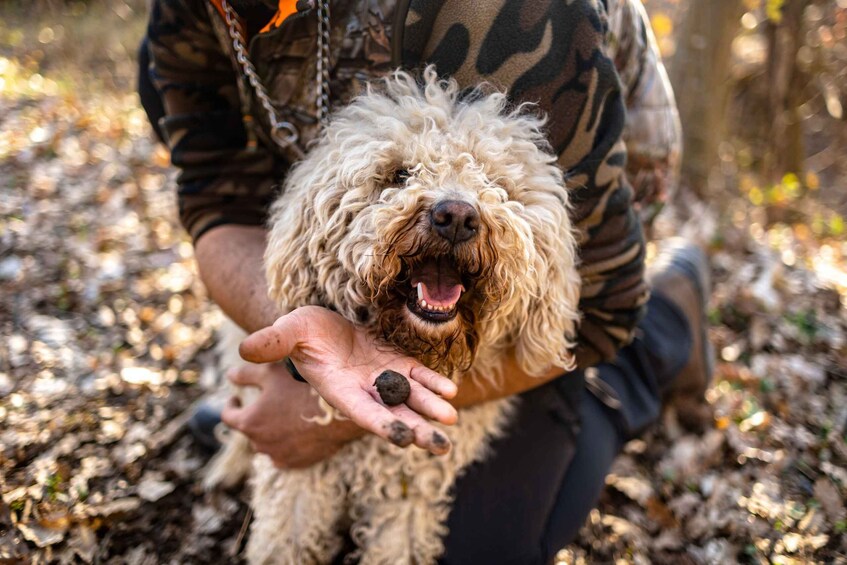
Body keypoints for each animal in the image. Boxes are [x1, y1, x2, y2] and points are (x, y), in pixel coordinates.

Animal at [209, 67, 588, 564]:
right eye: (399, 174)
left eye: (495, 181)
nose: (457, 216)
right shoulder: (298, 473)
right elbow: (281, 542)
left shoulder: (410, 488)